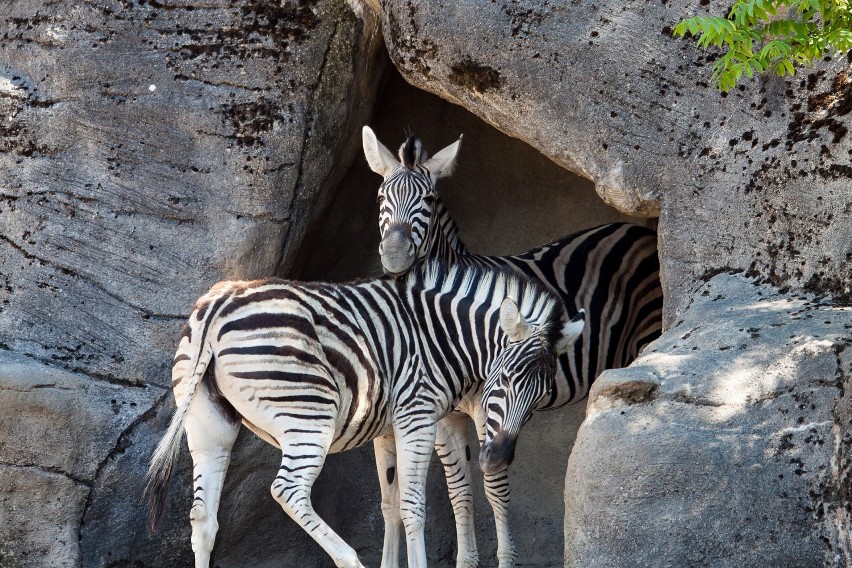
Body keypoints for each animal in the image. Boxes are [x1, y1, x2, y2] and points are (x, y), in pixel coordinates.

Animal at [145, 260, 584, 568]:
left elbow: (390, 505)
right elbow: (414, 506)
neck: (443, 337)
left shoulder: (386, 428)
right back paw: (349, 559)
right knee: (288, 490)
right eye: (504, 381)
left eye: (541, 399)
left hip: (208, 423)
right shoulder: (418, 415)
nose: (498, 458)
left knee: (203, 518)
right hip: (309, 416)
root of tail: (220, 303)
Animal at [362, 125, 664, 568]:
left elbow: (494, 488)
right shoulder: (444, 415)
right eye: (381, 197)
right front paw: (467, 560)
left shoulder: (489, 407)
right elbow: (460, 492)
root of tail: (640, 231)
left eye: (429, 201)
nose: (396, 255)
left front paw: (506, 558)